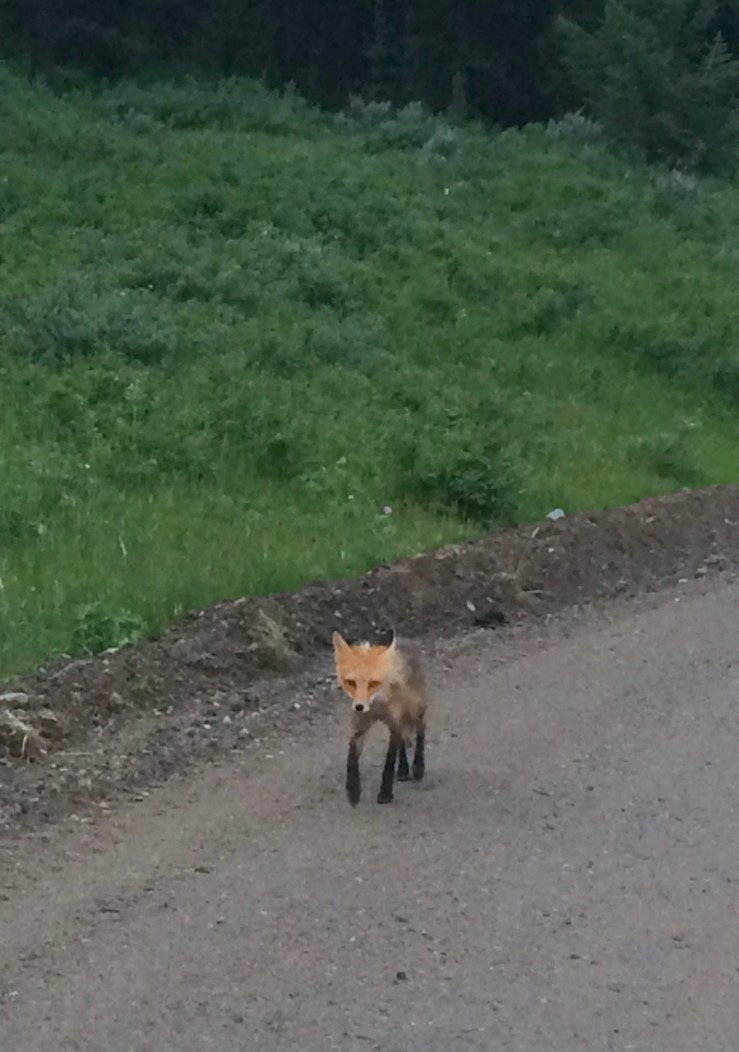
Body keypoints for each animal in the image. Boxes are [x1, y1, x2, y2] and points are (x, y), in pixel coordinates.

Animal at [332, 630, 428, 806]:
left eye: (373, 683)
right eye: (351, 683)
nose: (359, 706)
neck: (376, 707)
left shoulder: (394, 721)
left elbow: (389, 761)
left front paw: (385, 793)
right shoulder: (359, 724)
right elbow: (351, 757)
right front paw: (353, 791)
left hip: (415, 709)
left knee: (420, 731)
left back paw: (418, 767)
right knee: (403, 741)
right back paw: (403, 770)